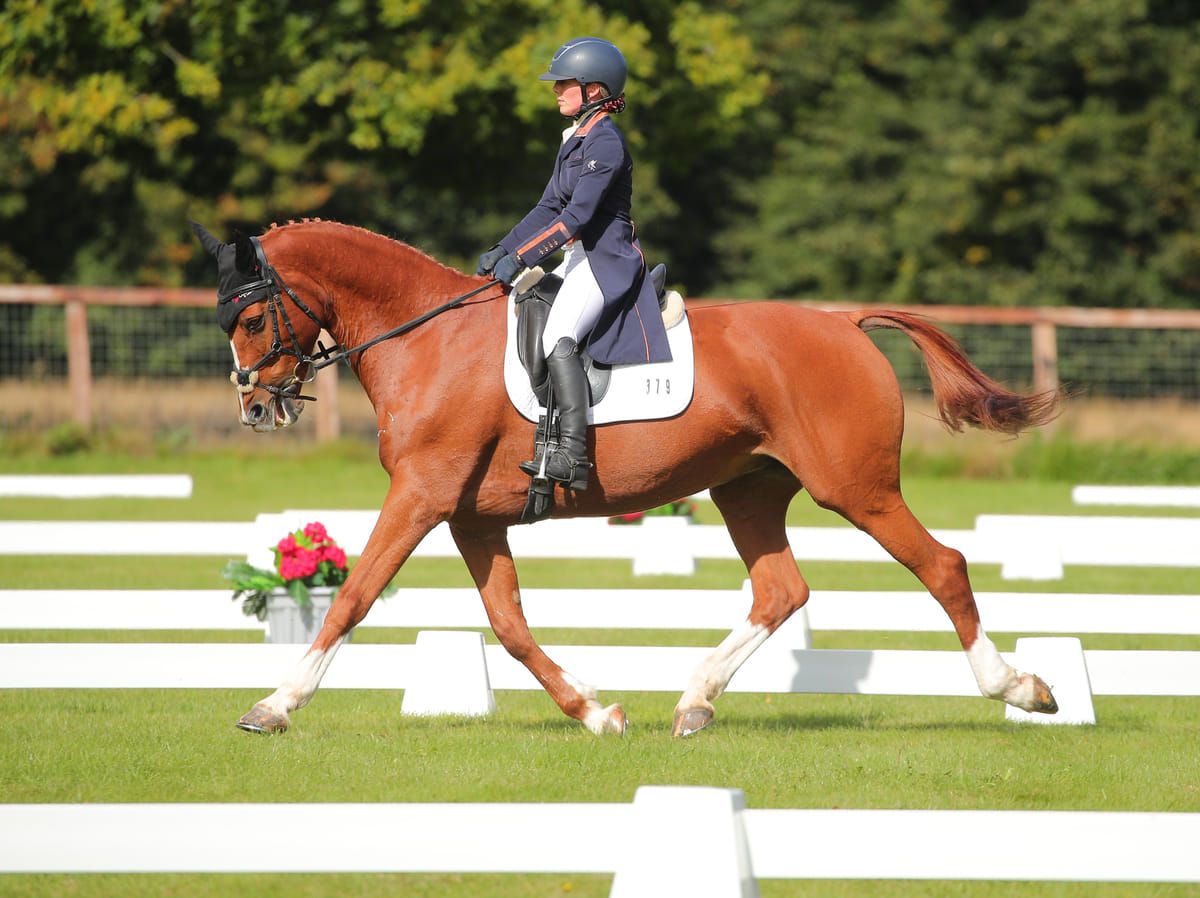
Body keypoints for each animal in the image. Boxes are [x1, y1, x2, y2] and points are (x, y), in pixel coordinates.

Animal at [192, 219, 1065, 734]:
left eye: (250, 317)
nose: (255, 407)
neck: (425, 339)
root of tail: (842, 322)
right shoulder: (470, 514)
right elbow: (509, 626)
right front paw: (594, 712)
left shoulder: (422, 495)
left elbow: (355, 594)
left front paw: (274, 705)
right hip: (748, 488)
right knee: (782, 590)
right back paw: (694, 702)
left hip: (858, 489)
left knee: (942, 566)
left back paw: (1021, 689)